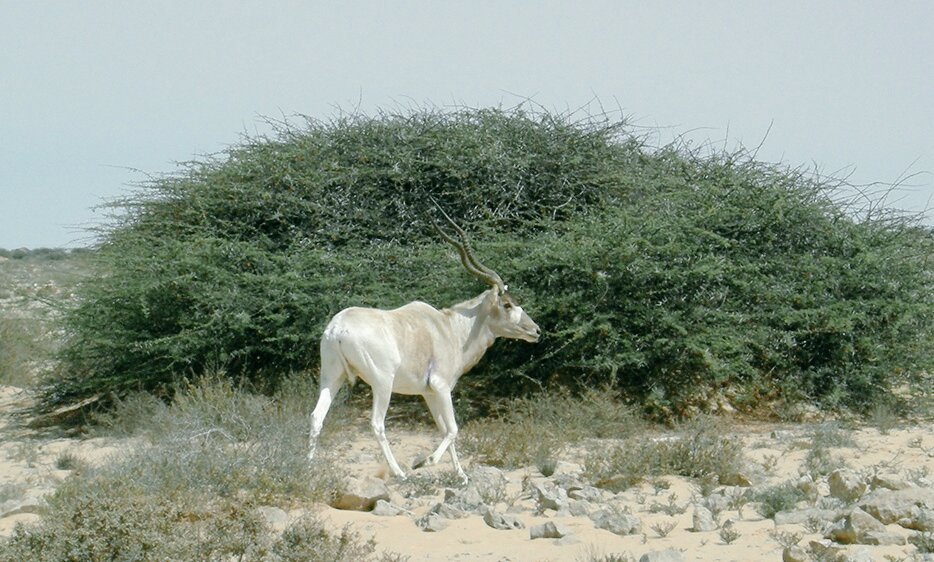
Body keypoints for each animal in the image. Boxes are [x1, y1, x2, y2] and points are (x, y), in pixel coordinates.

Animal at [307, 215, 540, 483]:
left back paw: (309, 468)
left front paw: (461, 476)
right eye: (507, 304)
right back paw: (399, 472)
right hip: (382, 383)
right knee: (377, 423)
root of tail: (338, 328)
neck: (450, 328)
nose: (535, 330)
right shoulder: (441, 387)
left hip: (332, 377)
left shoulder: (428, 392)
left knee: (317, 416)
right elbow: (453, 429)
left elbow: (444, 429)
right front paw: (424, 462)